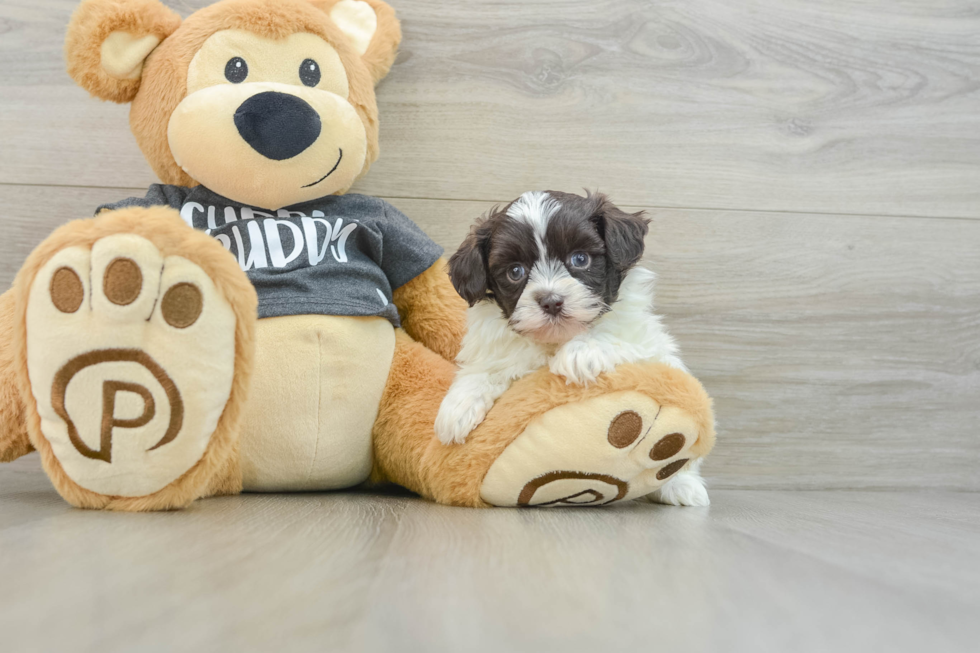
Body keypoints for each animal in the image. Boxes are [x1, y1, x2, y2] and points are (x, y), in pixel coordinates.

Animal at [434, 191, 704, 506]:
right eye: (515, 272)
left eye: (580, 259)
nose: (551, 301)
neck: (555, 340)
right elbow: (484, 369)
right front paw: (457, 409)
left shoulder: (646, 341)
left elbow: (612, 330)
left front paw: (580, 353)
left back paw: (683, 486)